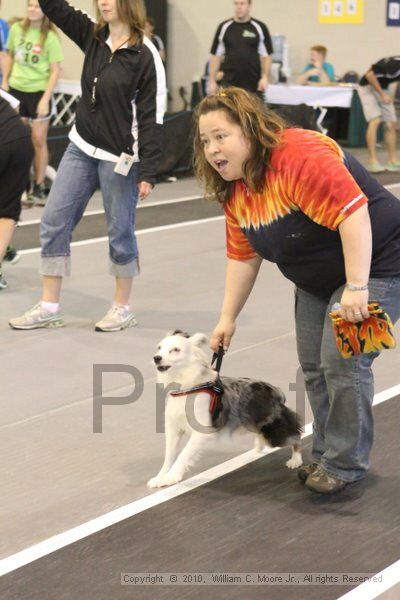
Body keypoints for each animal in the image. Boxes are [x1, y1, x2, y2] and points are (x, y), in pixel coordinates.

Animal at [148, 330, 304, 490]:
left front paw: (172, 477)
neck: (186, 388)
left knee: (295, 435)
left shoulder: (202, 432)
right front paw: (160, 477)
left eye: (176, 350)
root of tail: (275, 390)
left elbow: (183, 454)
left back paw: (295, 460)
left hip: (274, 431)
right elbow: (169, 456)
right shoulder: (173, 428)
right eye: (159, 348)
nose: (156, 358)